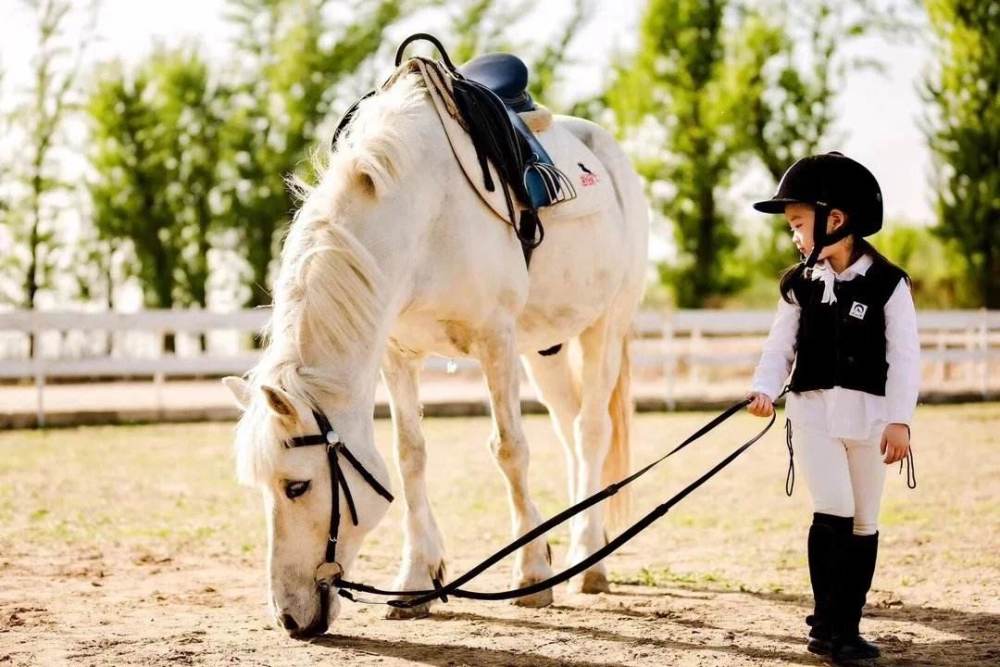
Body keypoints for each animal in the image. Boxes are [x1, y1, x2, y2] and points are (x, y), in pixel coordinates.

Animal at [222, 70, 648, 640]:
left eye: (296, 486)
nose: (290, 619)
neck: (424, 215)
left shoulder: (496, 340)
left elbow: (509, 450)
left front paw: (533, 571)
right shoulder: (398, 353)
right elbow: (411, 458)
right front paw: (415, 579)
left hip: (604, 327)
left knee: (592, 430)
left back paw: (588, 558)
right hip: (546, 350)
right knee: (570, 428)